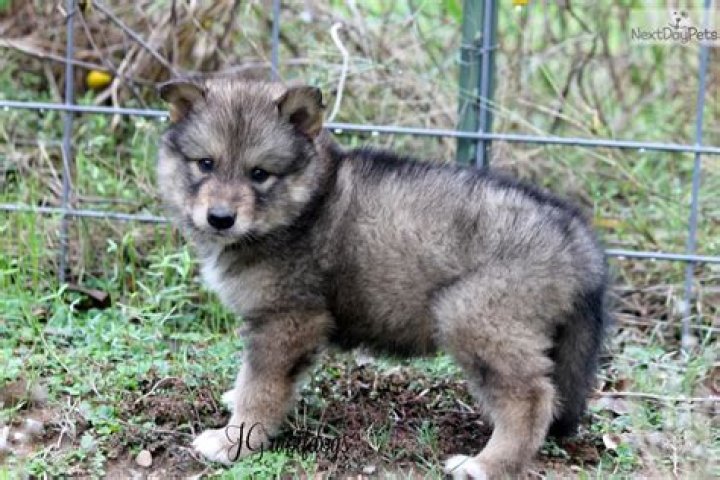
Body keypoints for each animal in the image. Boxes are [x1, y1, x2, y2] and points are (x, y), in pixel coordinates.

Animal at [156, 79, 609, 479]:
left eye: (259, 174)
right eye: (206, 164)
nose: (220, 218)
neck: (304, 205)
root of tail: (577, 238)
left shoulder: (287, 320)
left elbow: (261, 387)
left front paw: (233, 440)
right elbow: (255, 379)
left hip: (475, 319)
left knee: (531, 399)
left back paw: (485, 465)